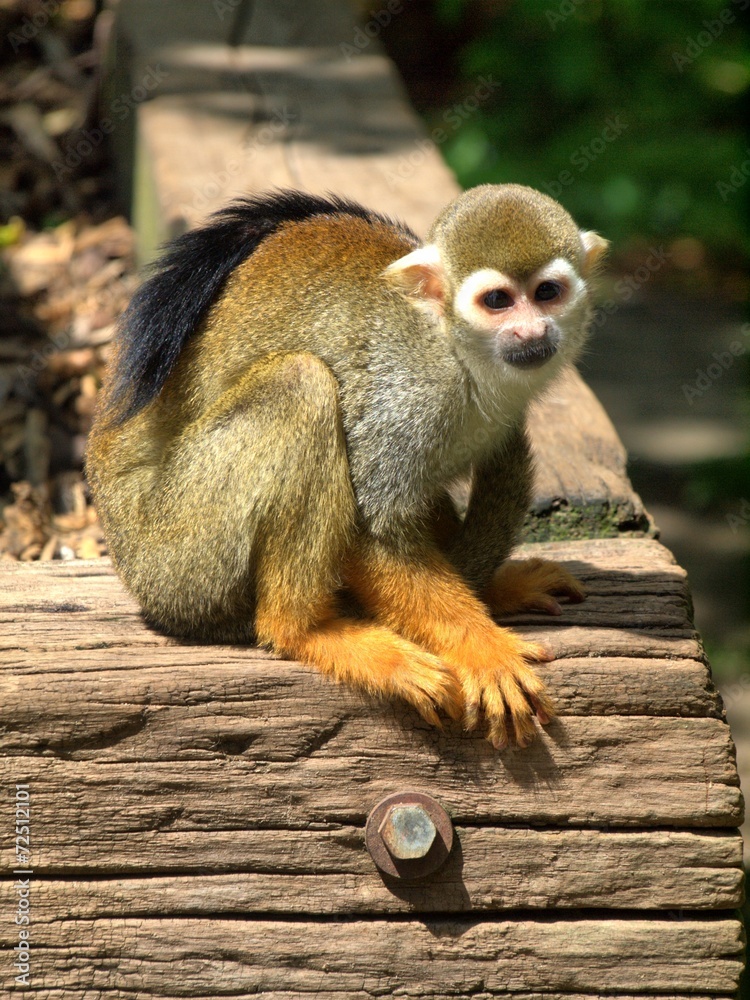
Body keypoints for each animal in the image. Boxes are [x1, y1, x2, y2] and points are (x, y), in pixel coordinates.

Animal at [86, 184, 608, 749]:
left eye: (548, 292)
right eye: (498, 301)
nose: (532, 331)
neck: (454, 349)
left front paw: (485, 591)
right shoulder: (404, 392)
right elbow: (371, 527)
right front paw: (481, 647)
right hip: (180, 554)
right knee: (302, 386)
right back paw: (310, 630)